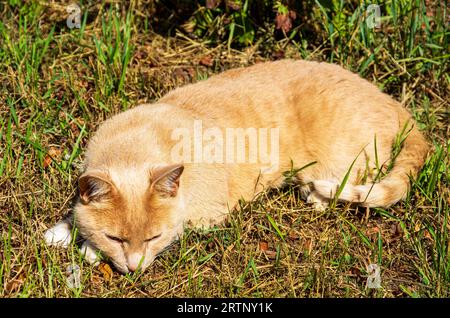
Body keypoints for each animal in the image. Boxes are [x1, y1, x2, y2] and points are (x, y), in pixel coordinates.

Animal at [44, 59, 428, 274]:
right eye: (115, 237)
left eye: (154, 237)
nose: (135, 269)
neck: (138, 142)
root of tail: (396, 105)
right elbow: (76, 211)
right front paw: (64, 231)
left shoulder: (204, 216)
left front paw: (86, 249)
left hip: (339, 161)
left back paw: (318, 196)